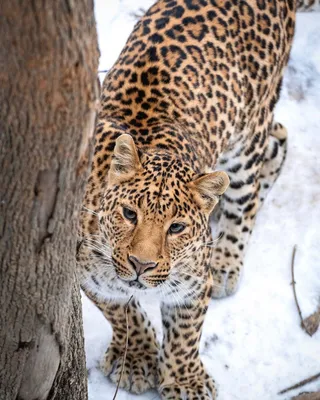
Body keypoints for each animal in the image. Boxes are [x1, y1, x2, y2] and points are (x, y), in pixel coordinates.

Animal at [75, 0, 300, 400]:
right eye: (129, 214)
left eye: (176, 227)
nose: (141, 265)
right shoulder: (84, 272)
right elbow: (122, 313)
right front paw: (137, 359)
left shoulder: (193, 284)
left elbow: (185, 333)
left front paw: (185, 381)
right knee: (280, 137)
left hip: (247, 136)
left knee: (248, 195)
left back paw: (226, 260)